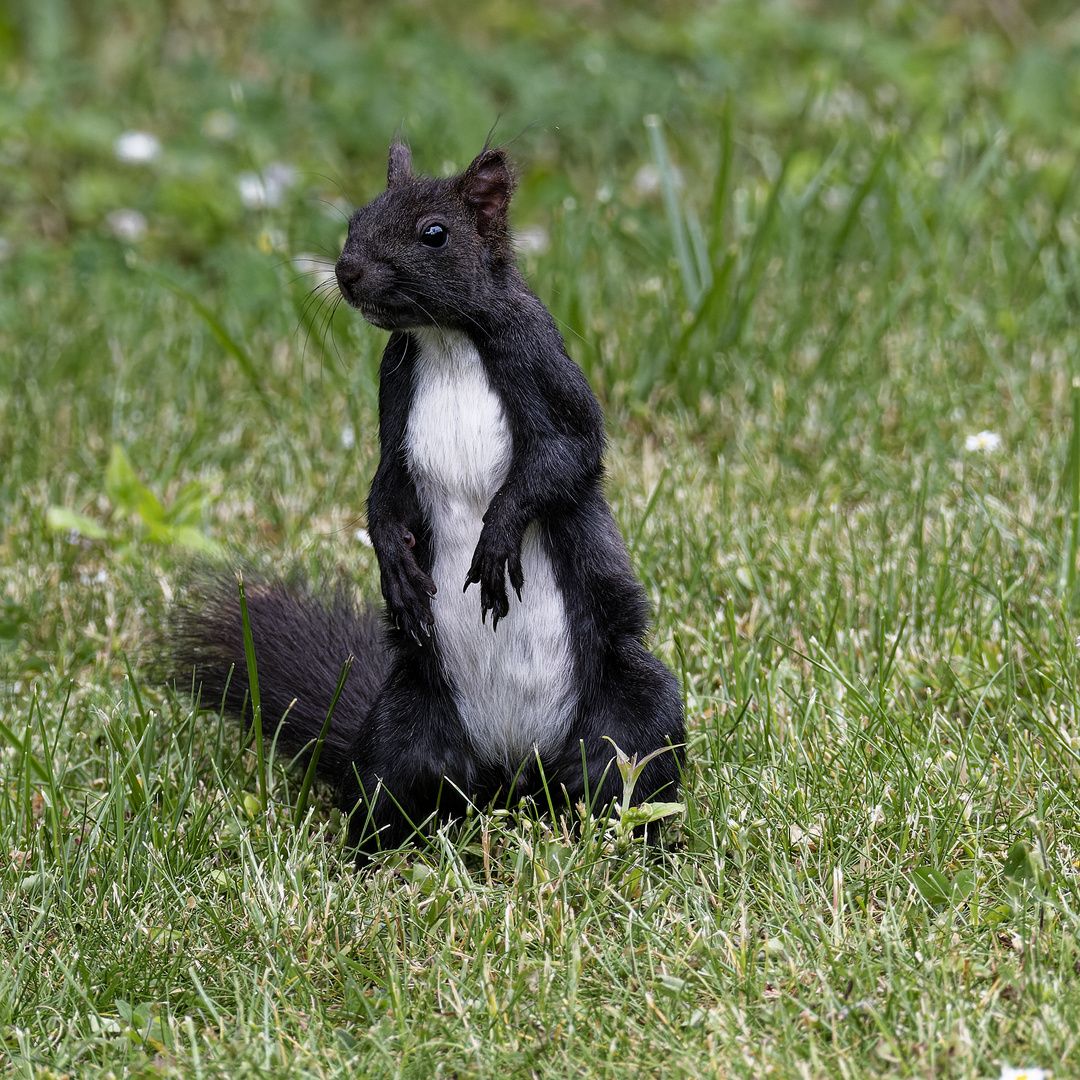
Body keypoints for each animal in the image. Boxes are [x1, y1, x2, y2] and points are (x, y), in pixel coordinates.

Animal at [173, 141, 686, 859]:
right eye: (355, 220)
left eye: (434, 234)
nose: (348, 271)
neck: (447, 338)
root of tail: (513, 778)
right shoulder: (394, 399)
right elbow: (384, 490)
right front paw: (395, 563)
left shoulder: (540, 363)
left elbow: (565, 457)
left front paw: (496, 537)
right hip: (403, 730)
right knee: (392, 794)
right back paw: (365, 862)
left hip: (631, 717)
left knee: (629, 775)